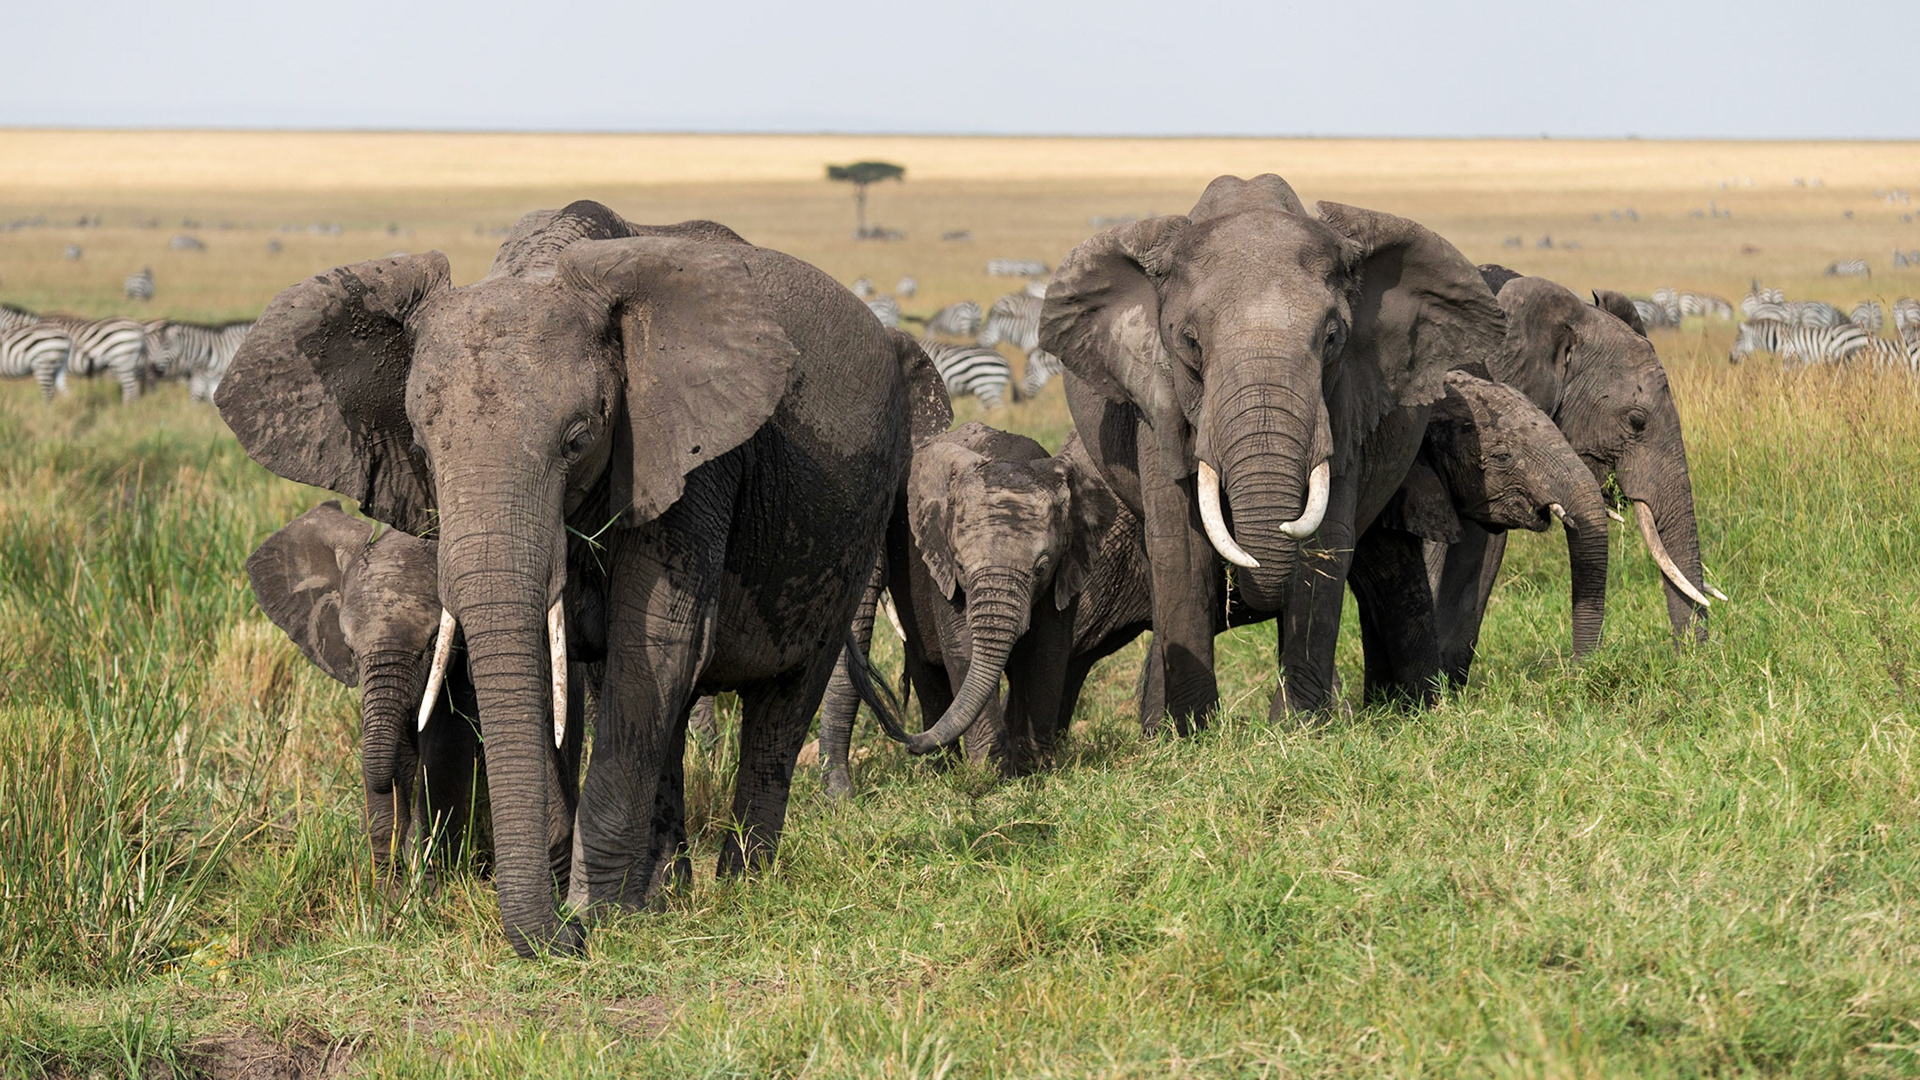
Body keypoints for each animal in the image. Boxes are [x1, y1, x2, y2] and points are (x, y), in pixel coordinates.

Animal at [218, 200, 948, 958]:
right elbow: (558, 668)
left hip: (858, 516)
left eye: (578, 440)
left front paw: (595, 917)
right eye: (419, 444)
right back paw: (665, 891)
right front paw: (593, 907)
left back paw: (741, 885)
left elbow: (653, 644)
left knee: (783, 697)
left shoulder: (693, 457)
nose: (561, 937)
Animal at [1042, 173, 1508, 729]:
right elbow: (1180, 547)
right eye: (1190, 343)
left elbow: (1324, 541)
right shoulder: (1155, 404)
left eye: (1332, 339)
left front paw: (1298, 728)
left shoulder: (1344, 404)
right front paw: (1194, 733)